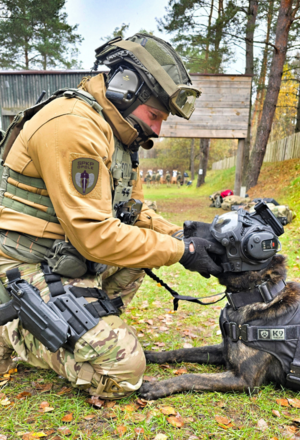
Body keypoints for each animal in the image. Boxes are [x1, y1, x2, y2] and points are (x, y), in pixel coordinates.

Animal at [139, 254, 300, 402]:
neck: (258, 295)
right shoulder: (223, 351)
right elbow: (182, 351)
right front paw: (153, 356)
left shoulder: (243, 379)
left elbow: (192, 377)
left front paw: (157, 387)